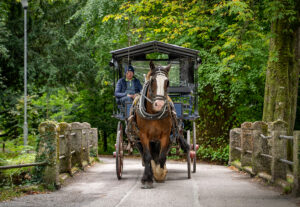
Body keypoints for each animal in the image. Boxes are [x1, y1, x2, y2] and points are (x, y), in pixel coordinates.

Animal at [134, 60, 190, 188]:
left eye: (167, 82)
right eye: (152, 81)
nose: (159, 104)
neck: (153, 114)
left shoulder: (165, 135)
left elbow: (162, 156)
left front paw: (160, 173)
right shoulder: (143, 135)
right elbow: (147, 156)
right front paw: (147, 179)